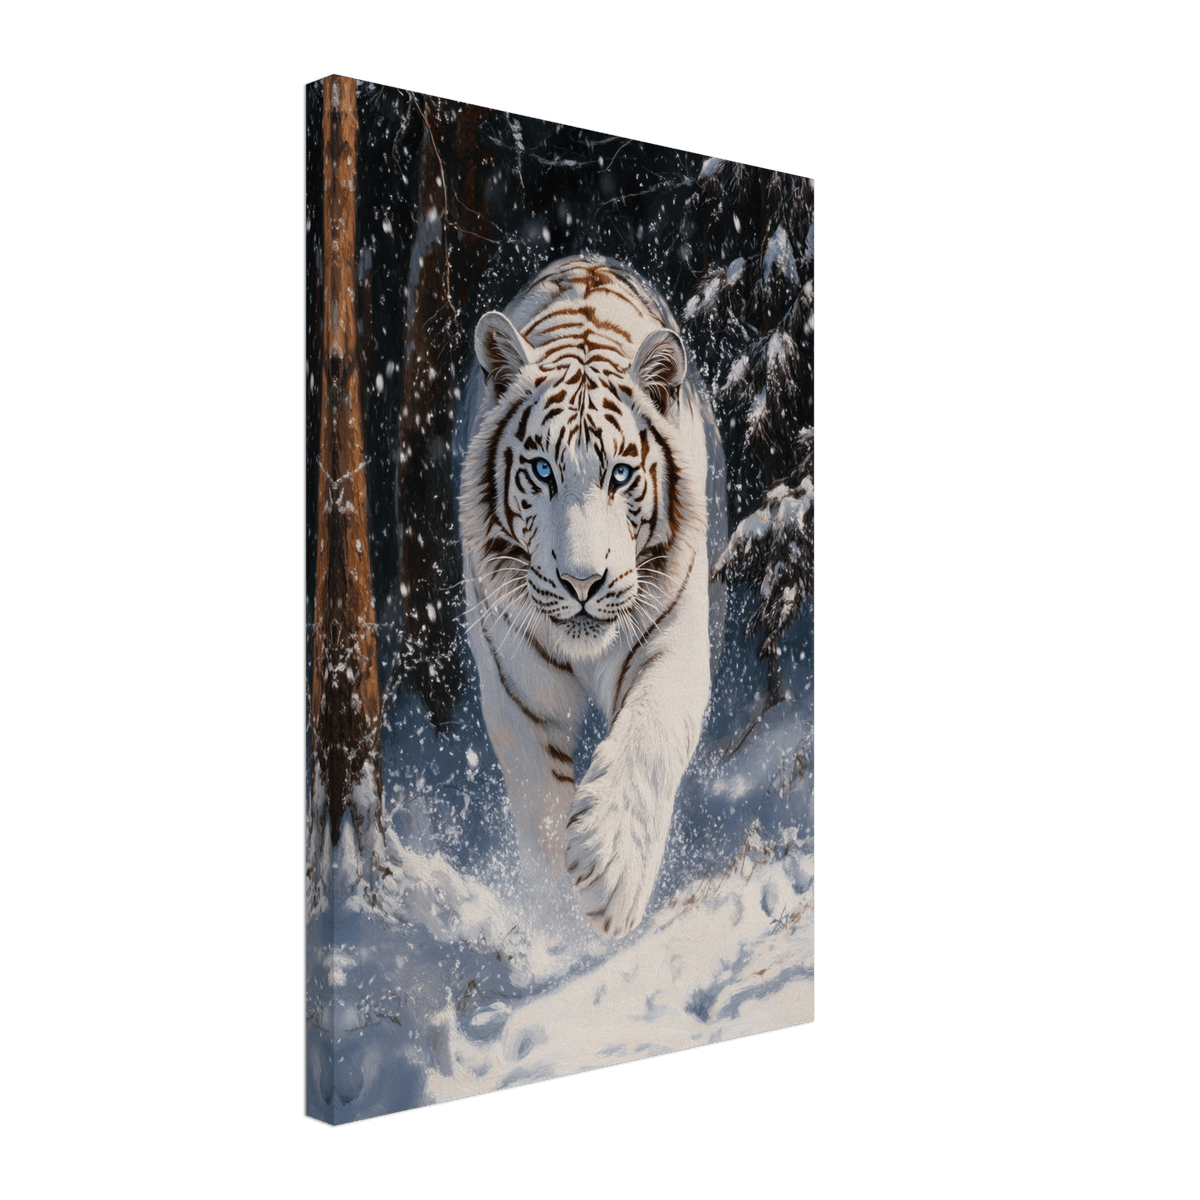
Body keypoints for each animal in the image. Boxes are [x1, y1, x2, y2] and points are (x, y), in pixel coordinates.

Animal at [458, 254, 725, 938]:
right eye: (542, 471)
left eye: (621, 474)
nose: (583, 582)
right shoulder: (518, 687)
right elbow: (539, 803)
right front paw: (562, 917)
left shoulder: (672, 643)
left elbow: (650, 737)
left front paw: (610, 871)